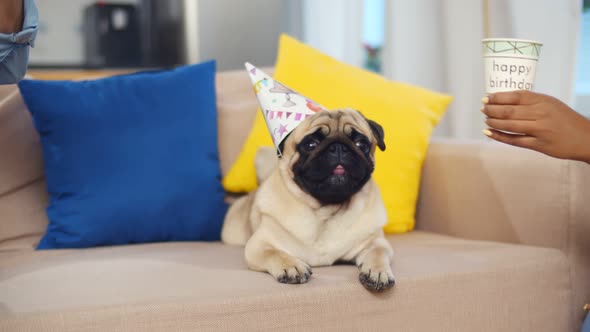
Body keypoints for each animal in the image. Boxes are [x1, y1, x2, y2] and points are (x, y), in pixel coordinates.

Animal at [224, 108, 396, 290]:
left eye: (361, 145)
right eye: (310, 145)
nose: (338, 147)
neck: (326, 210)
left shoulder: (376, 242)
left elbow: (378, 253)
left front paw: (378, 271)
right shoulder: (258, 245)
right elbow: (274, 253)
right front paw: (291, 266)